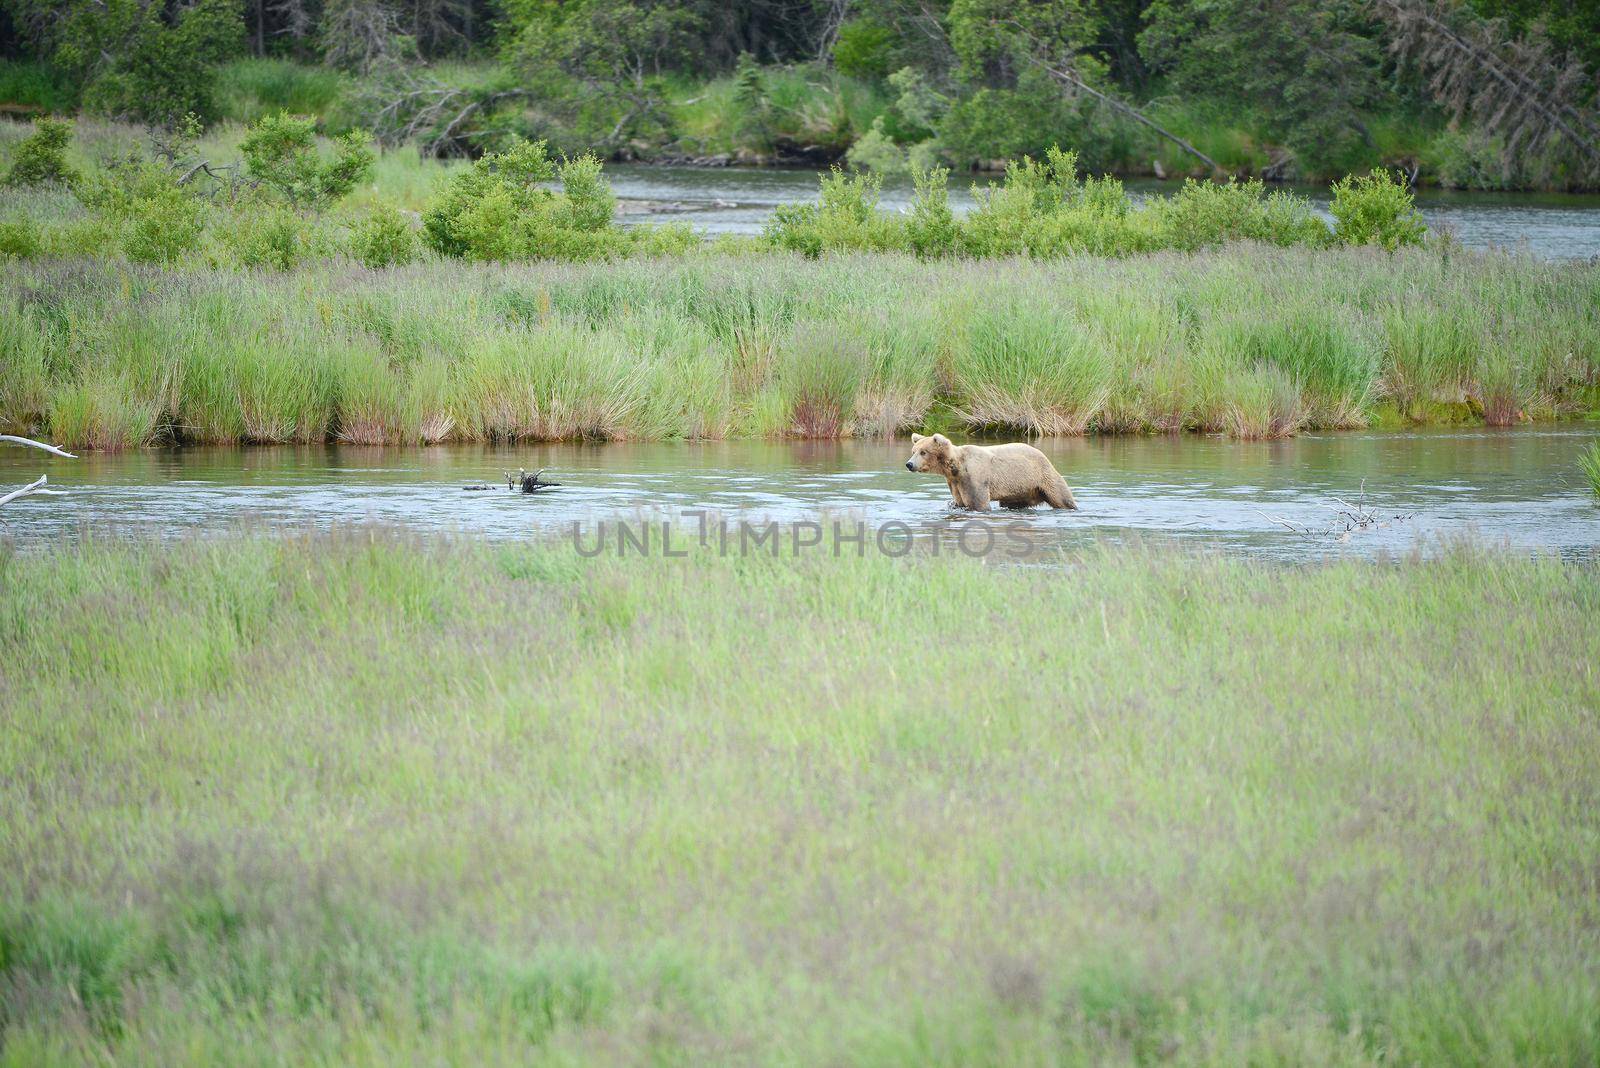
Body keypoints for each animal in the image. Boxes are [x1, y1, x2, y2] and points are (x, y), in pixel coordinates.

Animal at [908, 434, 1081, 514]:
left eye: (923, 452)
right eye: (913, 451)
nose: (909, 464)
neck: (956, 467)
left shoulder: (974, 477)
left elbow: (979, 504)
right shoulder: (955, 482)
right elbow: (960, 501)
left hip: (1042, 475)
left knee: (1061, 497)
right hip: (1020, 490)